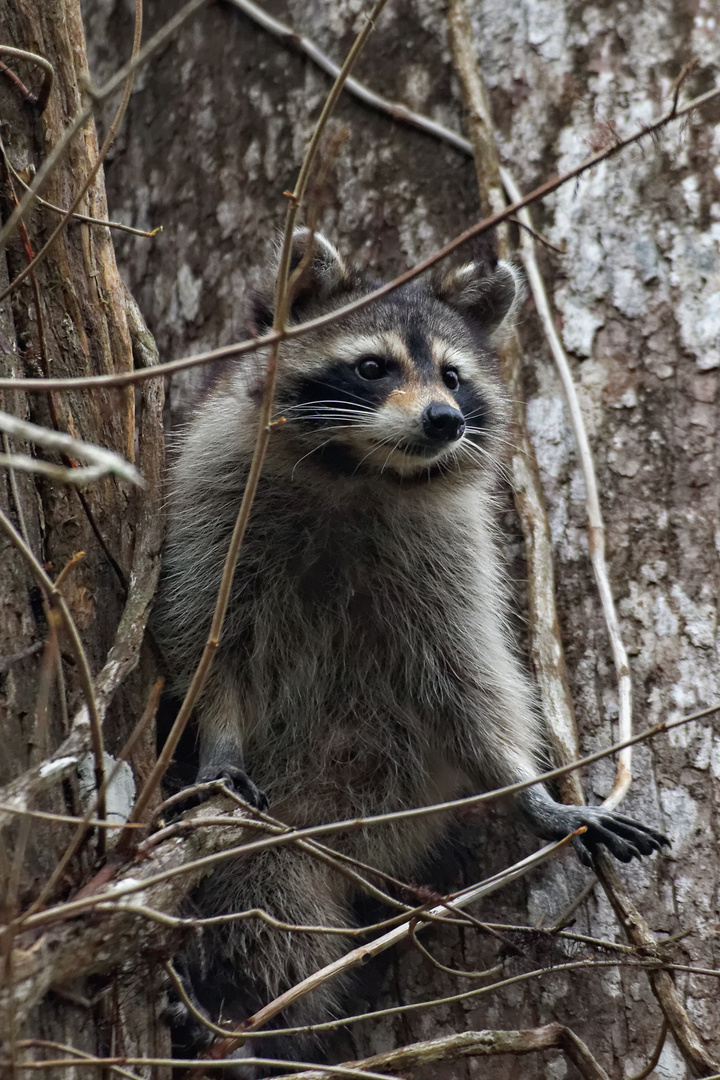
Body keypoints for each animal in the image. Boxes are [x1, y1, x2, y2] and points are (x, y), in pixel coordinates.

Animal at [153, 232, 669, 1075]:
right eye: (373, 367)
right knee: (257, 891)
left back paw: (252, 1024)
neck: (361, 470)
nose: (444, 419)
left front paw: (528, 791)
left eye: (454, 376)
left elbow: (471, 683)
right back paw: (234, 1020)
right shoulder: (213, 500)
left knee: (278, 896)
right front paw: (220, 736)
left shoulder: (447, 553)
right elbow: (207, 642)